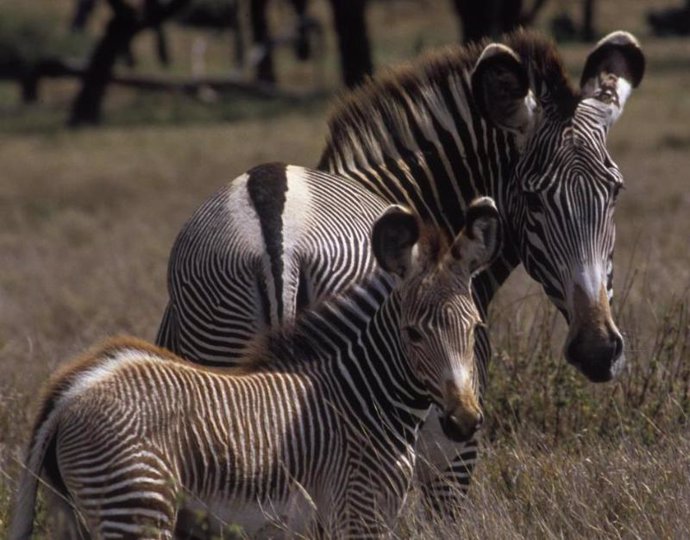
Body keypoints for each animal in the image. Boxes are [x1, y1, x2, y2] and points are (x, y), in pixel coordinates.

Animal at [10, 199, 500, 540]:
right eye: (413, 333)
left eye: (476, 328)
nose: (463, 421)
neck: (364, 400)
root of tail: (71, 390)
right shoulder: (358, 510)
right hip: (137, 504)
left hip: (74, 512)